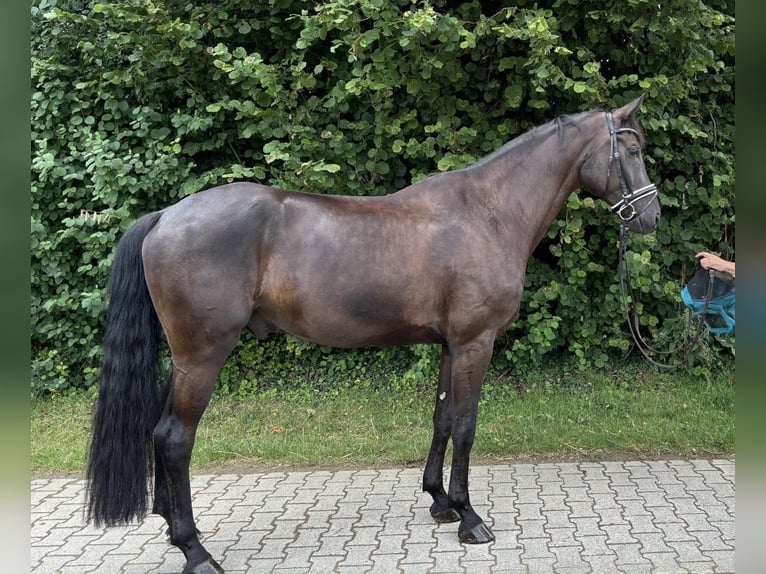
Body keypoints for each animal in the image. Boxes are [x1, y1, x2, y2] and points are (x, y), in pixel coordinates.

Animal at [85, 95, 660, 573]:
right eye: (631, 150)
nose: (651, 216)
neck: (487, 213)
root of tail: (166, 216)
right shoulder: (476, 342)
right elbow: (466, 425)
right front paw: (470, 517)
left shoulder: (450, 346)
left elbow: (442, 419)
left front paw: (439, 502)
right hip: (203, 357)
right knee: (175, 438)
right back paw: (195, 551)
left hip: (183, 360)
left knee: (159, 432)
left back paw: (173, 529)